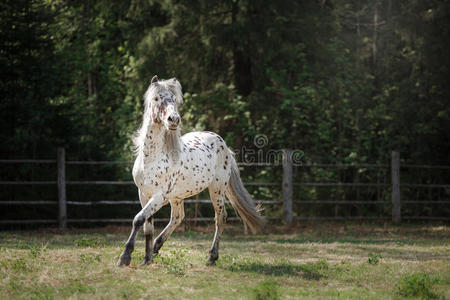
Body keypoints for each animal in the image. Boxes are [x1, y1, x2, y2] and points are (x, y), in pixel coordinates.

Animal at [117, 76, 264, 266]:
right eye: (157, 98)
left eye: (174, 99)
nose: (174, 119)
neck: (152, 157)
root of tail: (222, 143)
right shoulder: (144, 194)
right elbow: (147, 226)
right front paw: (147, 259)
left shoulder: (158, 196)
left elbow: (138, 219)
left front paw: (125, 256)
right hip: (177, 197)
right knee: (178, 217)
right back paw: (157, 246)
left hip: (216, 189)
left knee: (220, 218)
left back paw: (212, 256)